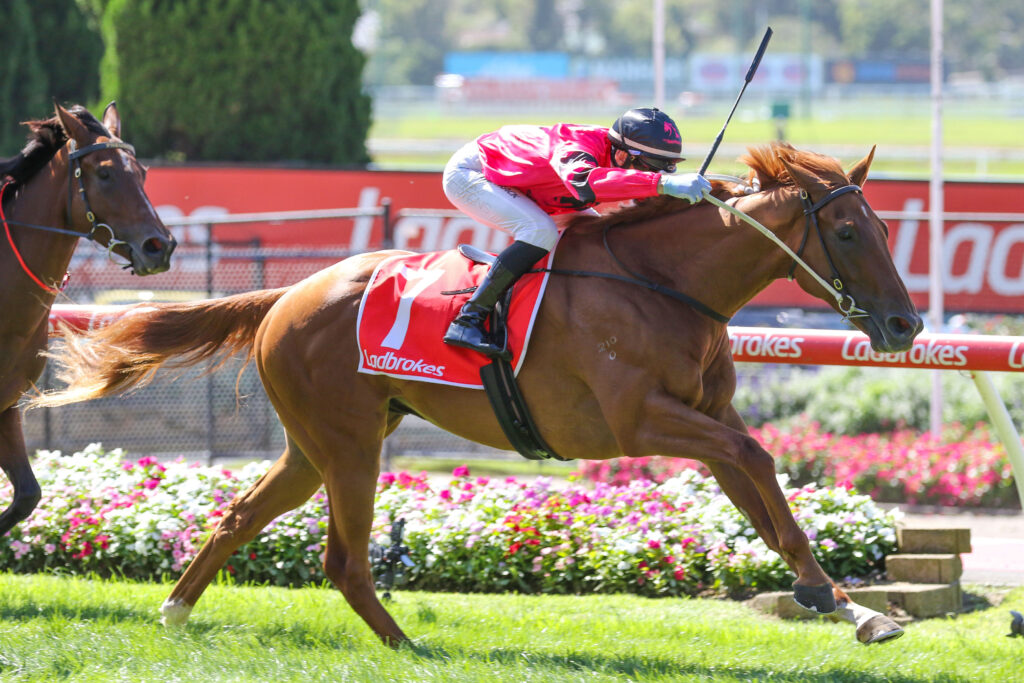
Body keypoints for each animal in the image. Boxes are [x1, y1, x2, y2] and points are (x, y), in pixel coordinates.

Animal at [36, 142, 922, 647]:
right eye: (848, 232)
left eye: (885, 228)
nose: (905, 323)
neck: (661, 282)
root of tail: (288, 293)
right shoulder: (643, 421)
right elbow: (758, 458)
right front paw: (829, 593)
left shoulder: (705, 415)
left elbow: (764, 497)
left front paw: (849, 604)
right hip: (349, 445)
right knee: (344, 558)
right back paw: (408, 647)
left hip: (314, 443)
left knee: (239, 516)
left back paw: (176, 613)